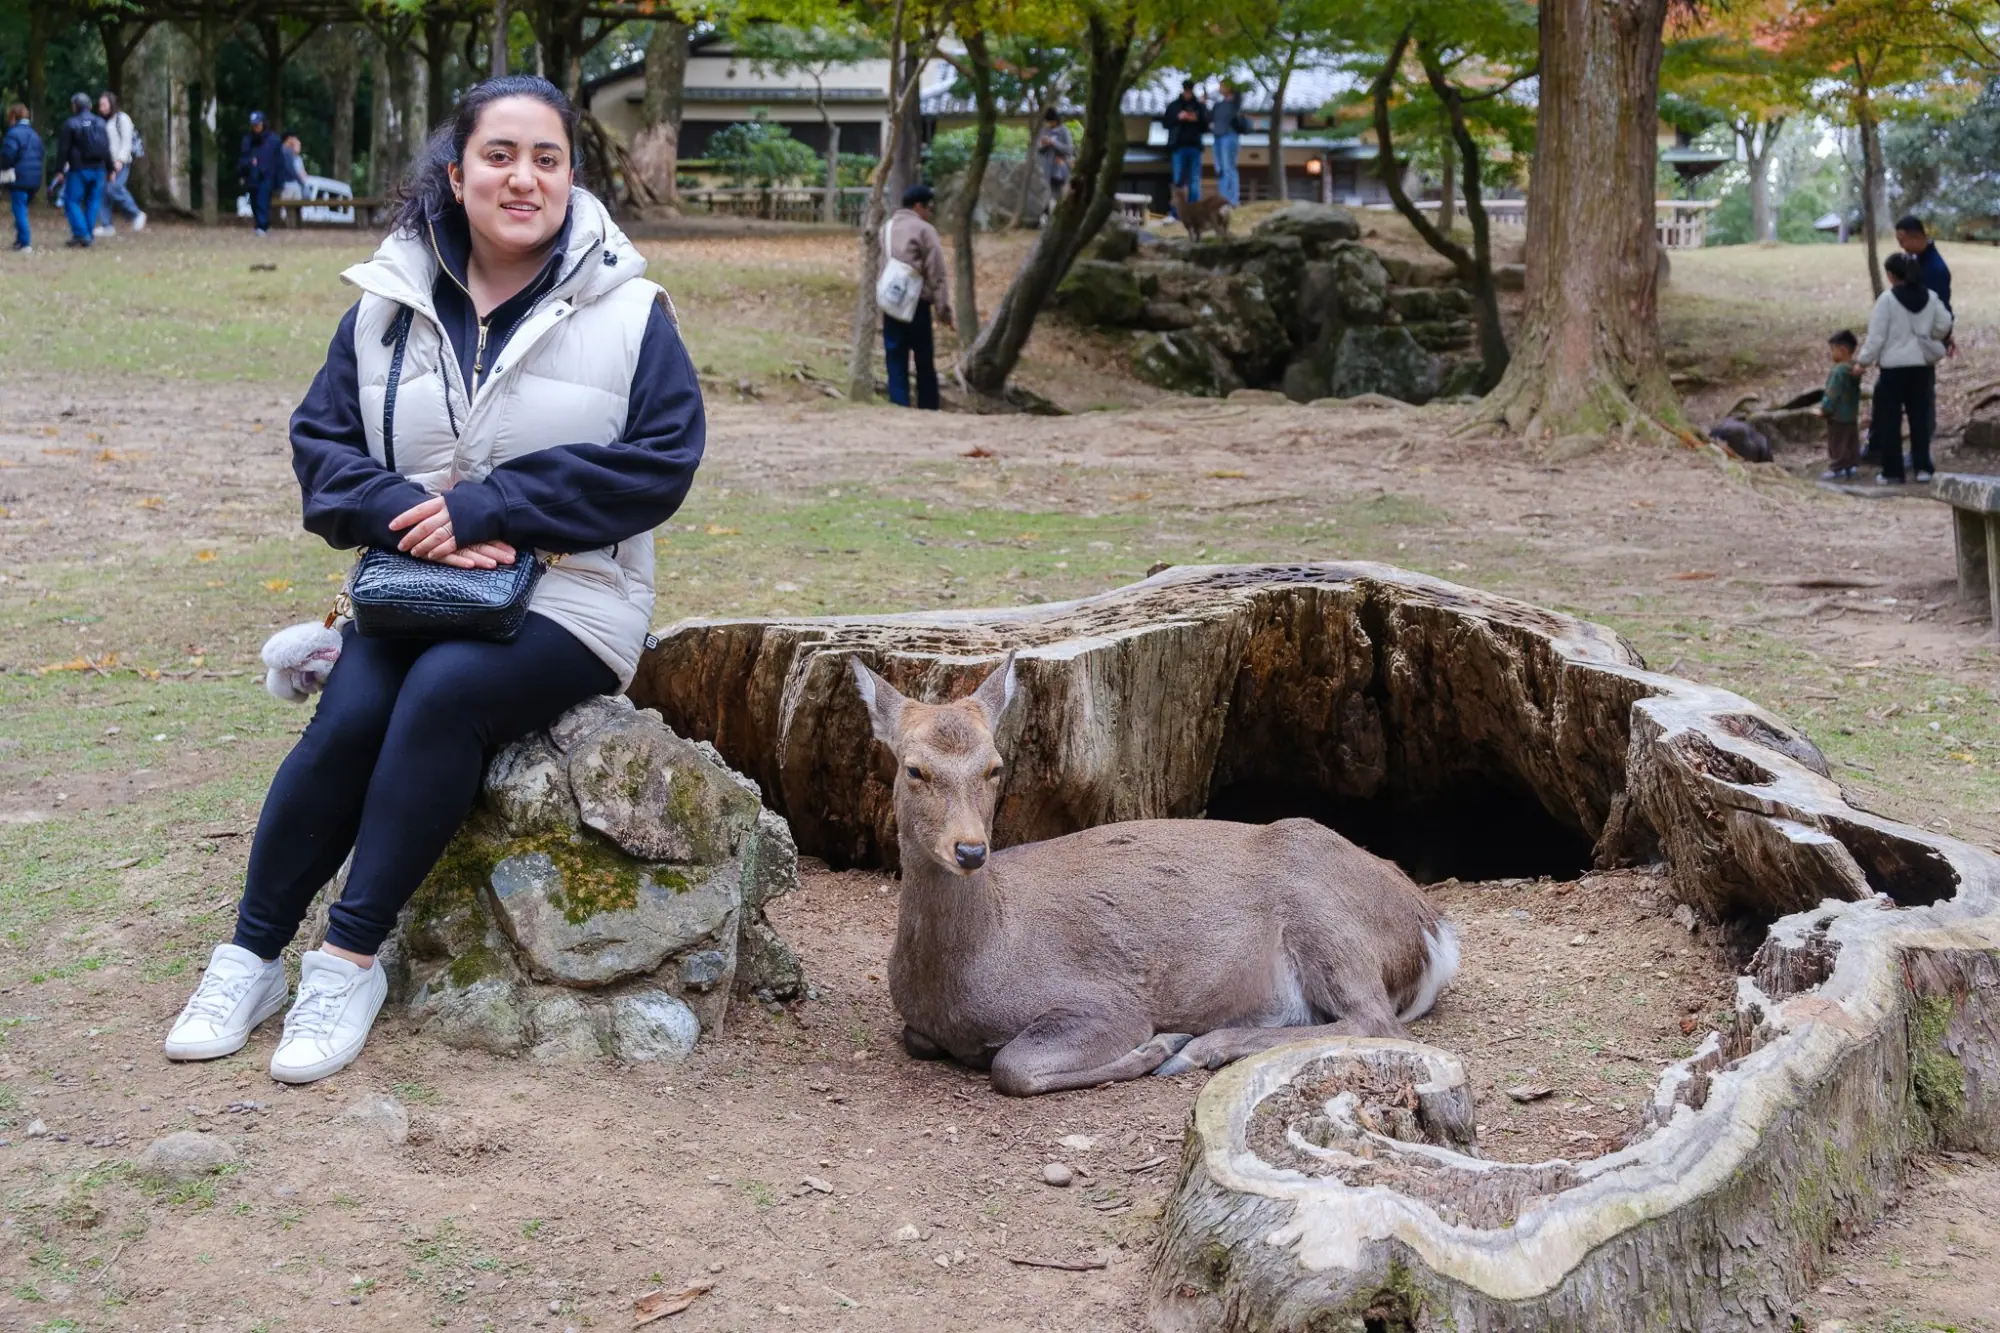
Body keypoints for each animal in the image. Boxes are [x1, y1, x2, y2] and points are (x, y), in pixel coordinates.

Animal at [849, 652, 1459, 1097]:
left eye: (995, 767)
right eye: (914, 769)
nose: (971, 850)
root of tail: (1434, 932)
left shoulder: (1104, 1002)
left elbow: (1012, 1066)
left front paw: (1156, 1047)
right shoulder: (921, 1024)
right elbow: (918, 1039)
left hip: (1325, 916)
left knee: (1374, 1020)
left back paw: (1195, 1048)